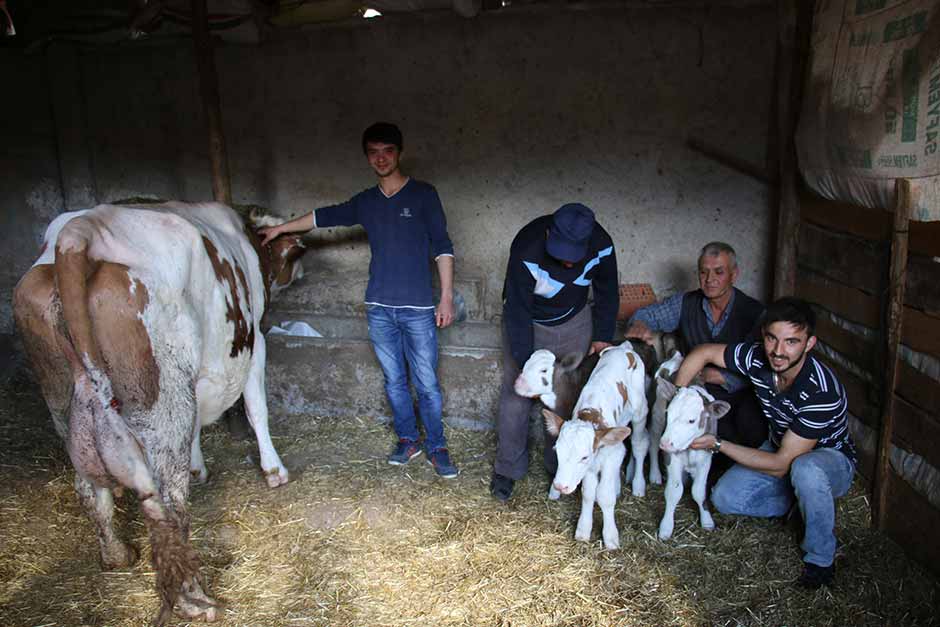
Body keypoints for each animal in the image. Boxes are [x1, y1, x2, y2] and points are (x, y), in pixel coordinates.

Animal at [656, 380, 732, 544]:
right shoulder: (672, 458)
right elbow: (674, 491)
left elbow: (698, 491)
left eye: (691, 420)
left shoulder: (706, 459)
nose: (665, 443)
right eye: (668, 413)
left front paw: (707, 521)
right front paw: (666, 527)